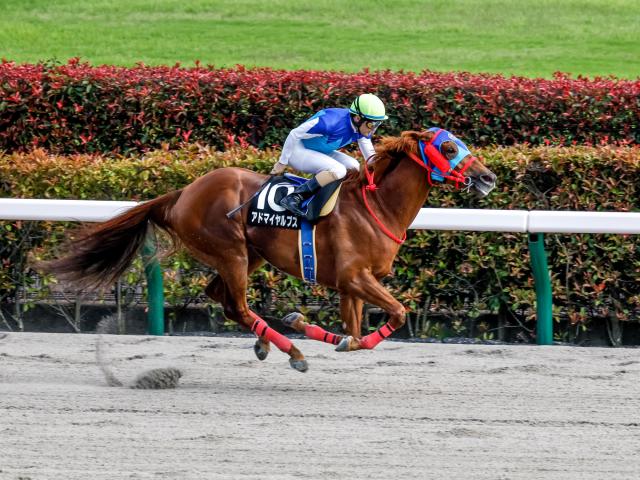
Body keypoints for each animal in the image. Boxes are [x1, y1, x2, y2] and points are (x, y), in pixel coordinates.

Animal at [42, 130, 498, 372]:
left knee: (221, 299)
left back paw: (266, 342)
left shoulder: (350, 285)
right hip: (231, 252)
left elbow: (354, 332)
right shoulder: (354, 277)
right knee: (239, 306)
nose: (488, 178)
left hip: (249, 255)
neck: (378, 206)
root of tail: (181, 194)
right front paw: (307, 334)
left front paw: (314, 328)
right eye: (450, 148)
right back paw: (291, 351)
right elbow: (398, 314)